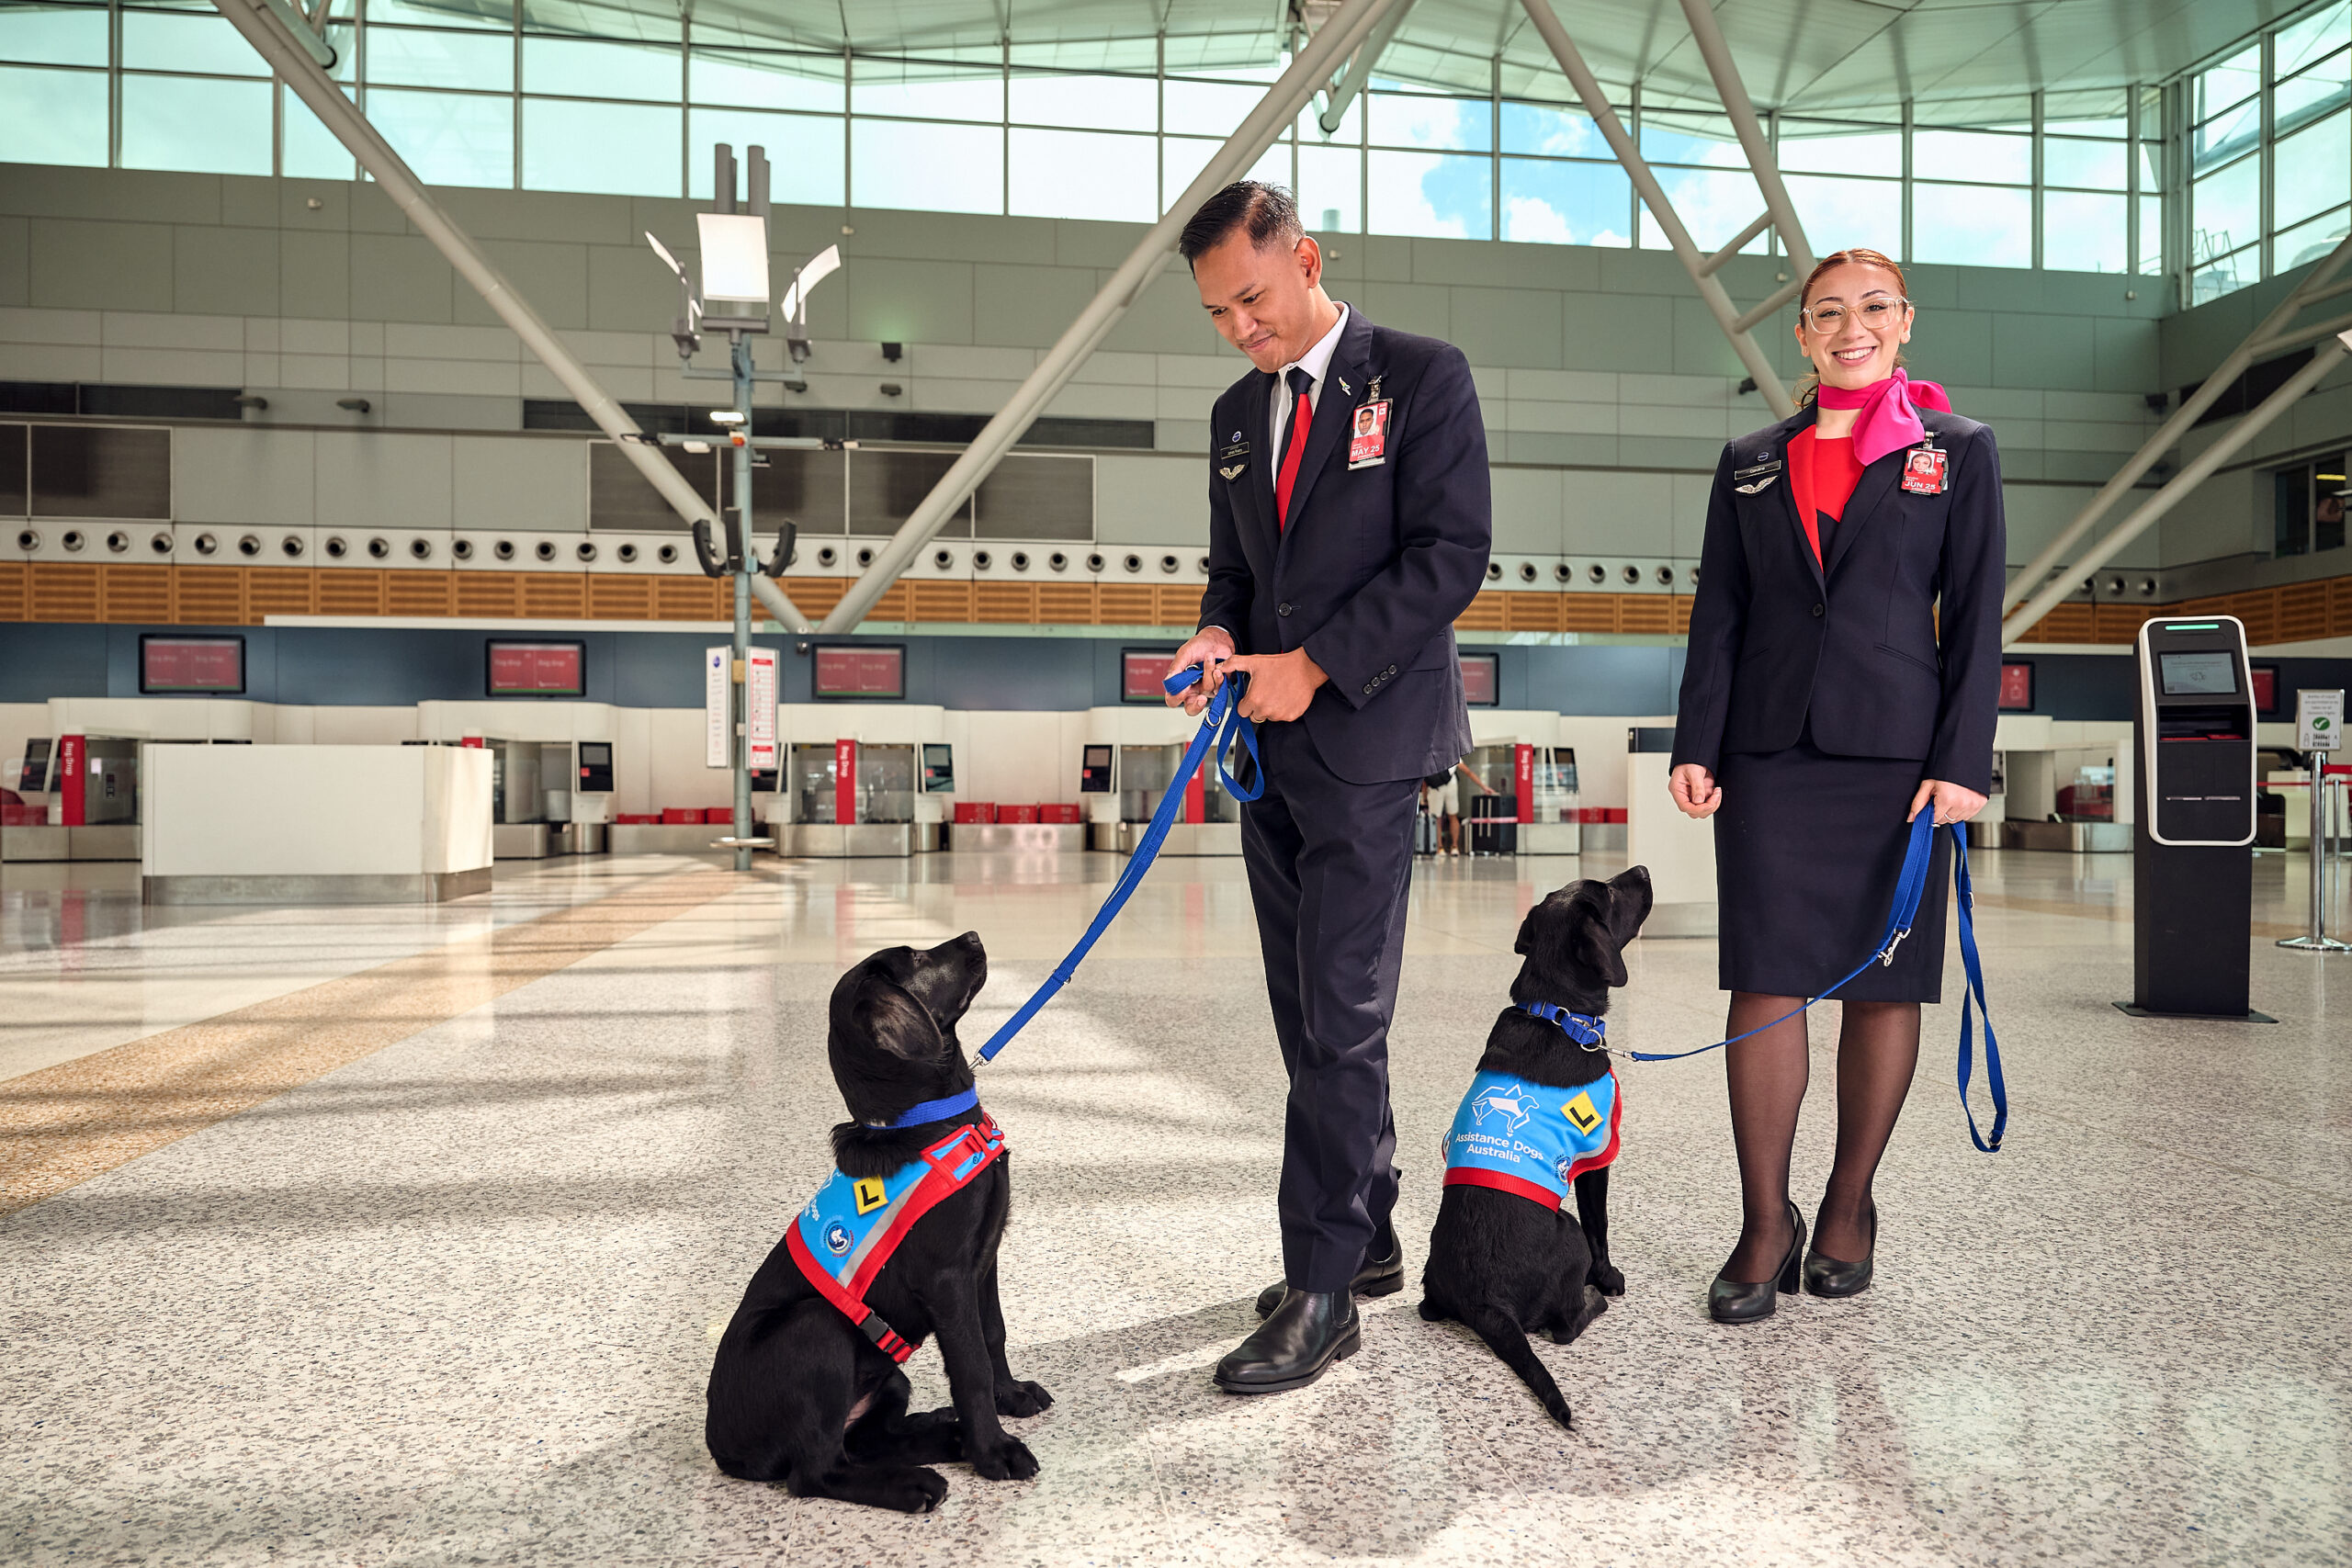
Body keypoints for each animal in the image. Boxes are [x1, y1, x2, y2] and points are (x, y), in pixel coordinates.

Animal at [700, 940, 1053, 1514]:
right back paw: (917, 1481)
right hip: (816, 1328)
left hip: (887, 1380)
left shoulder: (984, 1259)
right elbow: (971, 1365)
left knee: (864, 1442)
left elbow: (992, 1333)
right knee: (816, 1472)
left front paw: (1012, 1397)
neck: (927, 1118)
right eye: (914, 958)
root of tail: (722, 1450)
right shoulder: (947, 1278)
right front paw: (995, 1450)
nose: (975, 938)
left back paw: (942, 1434)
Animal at [1411, 869, 1656, 1438]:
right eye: (1610, 892)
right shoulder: (1597, 1159)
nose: (1642, 871)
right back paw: (1594, 1298)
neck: (1557, 1013)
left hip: (1432, 1285)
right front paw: (1609, 1278)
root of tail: (1486, 1303)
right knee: (1564, 1326)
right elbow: (1602, 1224)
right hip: (1568, 1234)